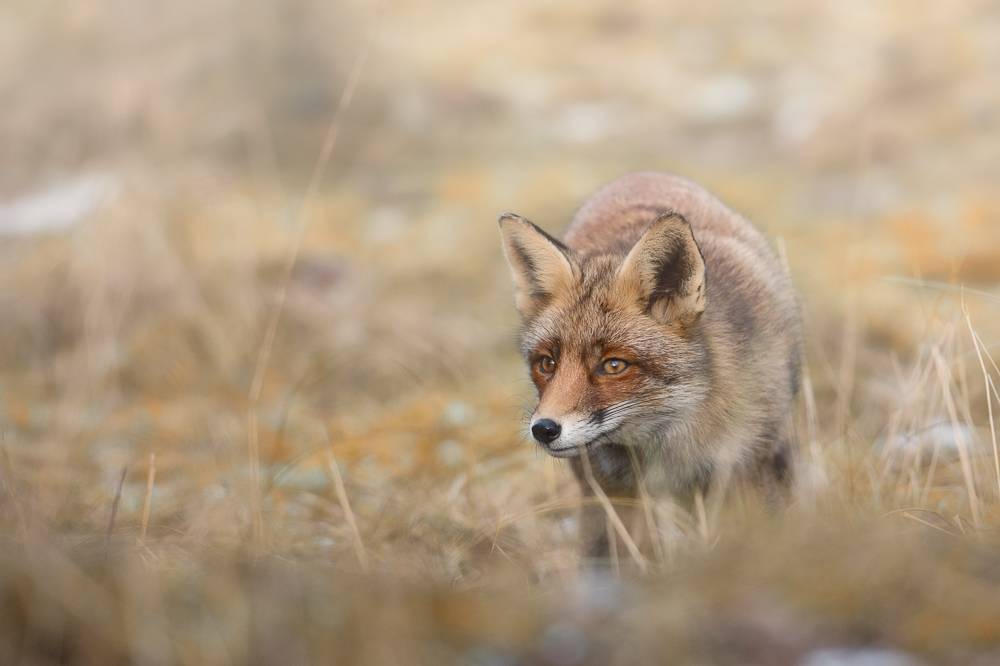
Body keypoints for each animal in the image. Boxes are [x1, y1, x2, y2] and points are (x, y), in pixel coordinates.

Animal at [500, 170, 804, 556]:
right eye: (547, 363)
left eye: (614, 365)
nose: (544, 429)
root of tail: (639, 175)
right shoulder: (612, 493)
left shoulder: (747, 470)